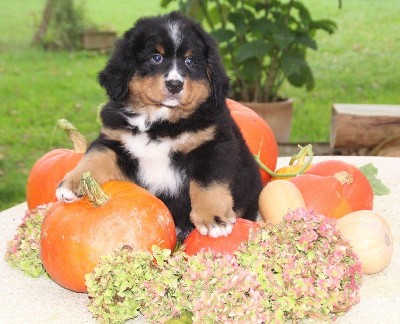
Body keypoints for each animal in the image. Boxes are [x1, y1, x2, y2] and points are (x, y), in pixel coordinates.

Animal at [56, 12, 262, 240]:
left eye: (190, 61)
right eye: (156, 58)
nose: (175, 84)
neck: (159, 123)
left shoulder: (213, 145)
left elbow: (208, 183)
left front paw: (213, 218)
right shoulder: (114, 141)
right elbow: (94, 158)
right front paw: (72, 183)